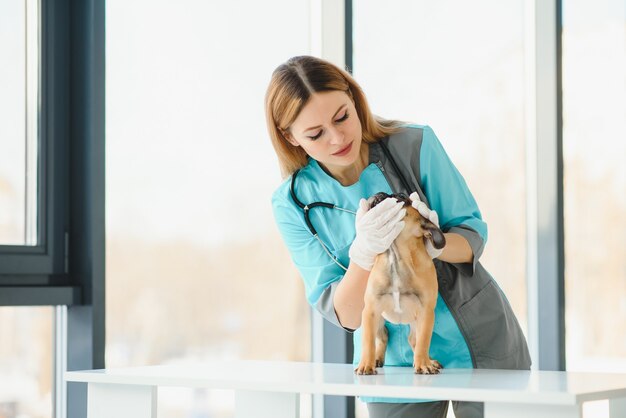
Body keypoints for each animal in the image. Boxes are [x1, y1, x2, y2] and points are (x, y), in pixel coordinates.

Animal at [354, 193, 446, 376]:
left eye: (402, 197)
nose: (379, 194)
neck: (395, 256)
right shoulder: (370, 310)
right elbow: (368, 341)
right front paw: (366, 364)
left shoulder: (426, 312)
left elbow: (423, 341)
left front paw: (424, 364)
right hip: (378, 319)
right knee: (383, 336)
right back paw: (376, 359)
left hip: (417, 322)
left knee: (415, 341)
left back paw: (428, 361)